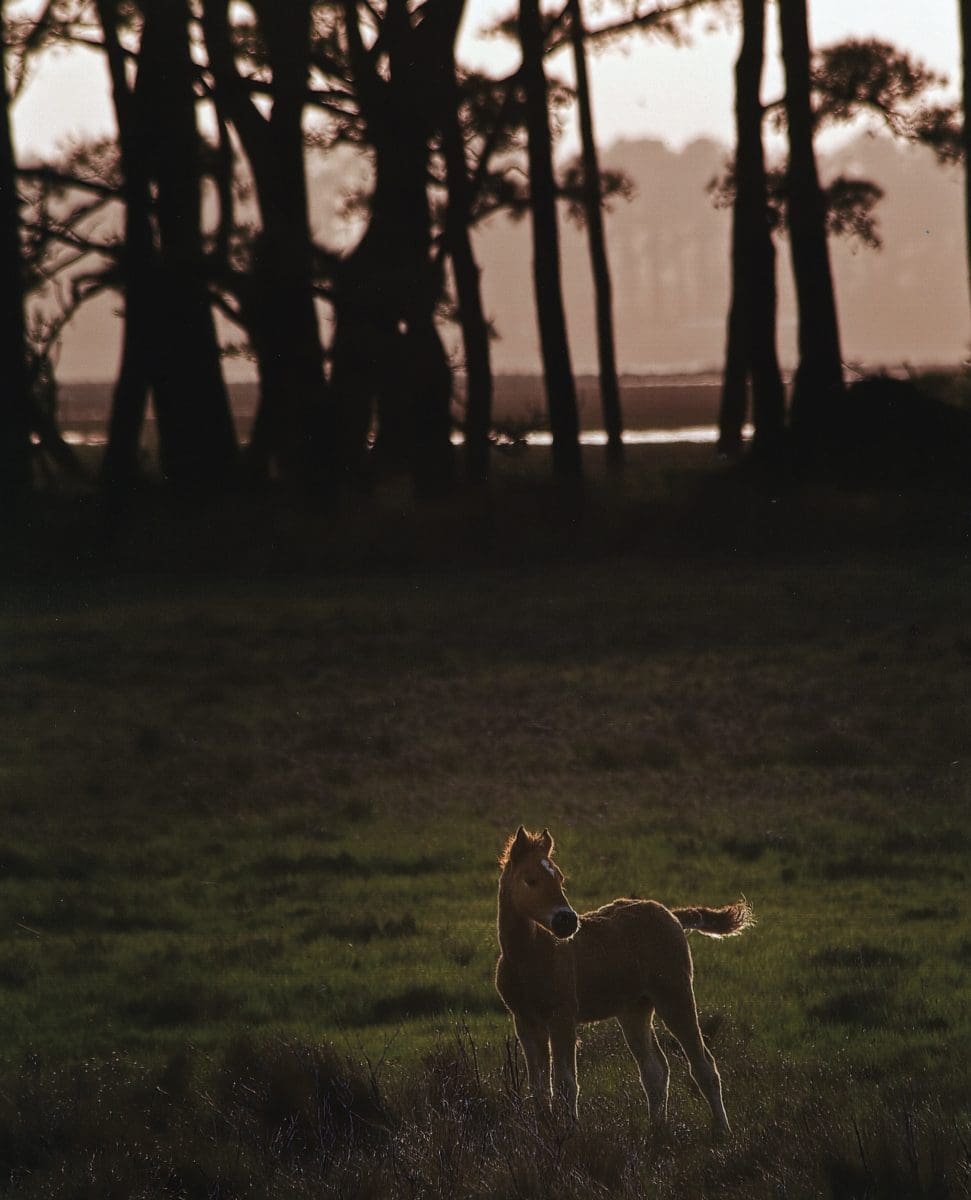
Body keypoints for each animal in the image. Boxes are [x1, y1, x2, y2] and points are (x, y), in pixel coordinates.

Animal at [495, 826, 753, 1138]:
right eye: (530, 880)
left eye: (560, 879)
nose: (567, 922)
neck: (528, 957)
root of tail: (671, 915)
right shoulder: (525, 1022)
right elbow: (539, 1087)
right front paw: (544, 1132)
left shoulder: (562, 1018)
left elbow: (566, 1083)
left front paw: (571, 1136)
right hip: (634, 1009)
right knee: (655, 1069)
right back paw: (657, 1132)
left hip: (674, 994)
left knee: (703, 1064)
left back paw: (723, 1131)